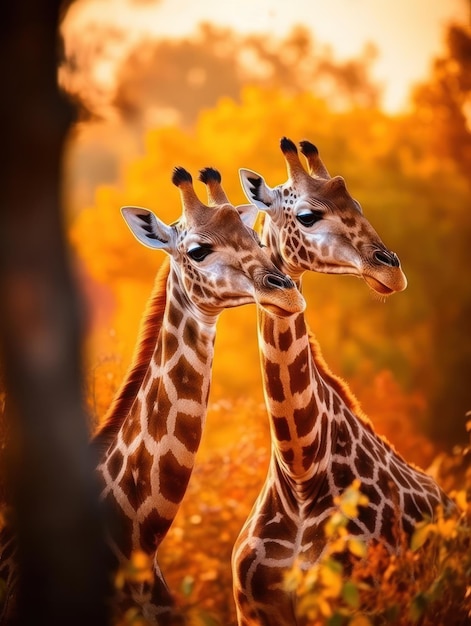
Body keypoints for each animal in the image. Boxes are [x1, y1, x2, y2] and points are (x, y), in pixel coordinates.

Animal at [212, 139, 452, 624]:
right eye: (307, 216)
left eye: (357, 204)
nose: (391, 270)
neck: (301, 474)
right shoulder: (252, 611)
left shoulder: (365, 606)